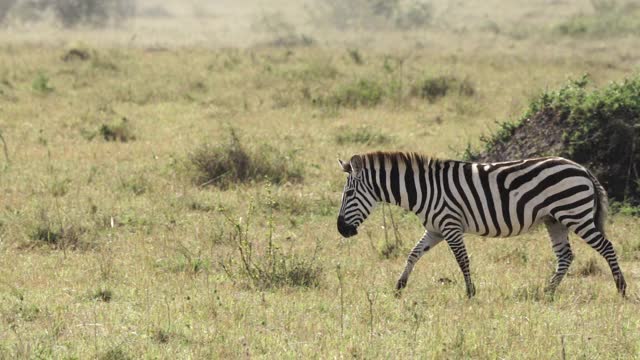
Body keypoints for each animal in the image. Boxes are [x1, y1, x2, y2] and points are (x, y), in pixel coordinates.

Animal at [338, 150, 628, 296]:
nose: (341, 229)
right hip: (554, 220)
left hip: (575, 214)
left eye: (349, 194)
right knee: (565, 256)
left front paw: (470, 292)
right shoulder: (435, 229)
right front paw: (399, 287)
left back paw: (621, 288)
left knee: (607, 247)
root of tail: (582, 168)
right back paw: (546, 291)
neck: (424, 190)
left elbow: (462, 260)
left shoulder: (450, 225)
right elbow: (413, 254)